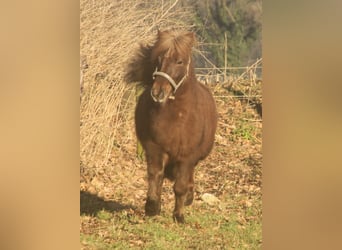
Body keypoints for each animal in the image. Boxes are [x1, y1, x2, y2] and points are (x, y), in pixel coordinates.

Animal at [125, 29, 216, 223]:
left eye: (179, 61)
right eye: (159, 59)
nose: (158, 92)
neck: (177, 118)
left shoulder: (187, 156)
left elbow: (180, 186)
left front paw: (179, 215)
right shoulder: (155, 148)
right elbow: (155, 175)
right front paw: (152, 206)